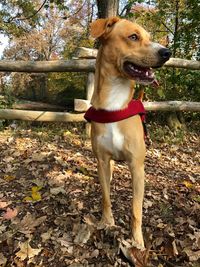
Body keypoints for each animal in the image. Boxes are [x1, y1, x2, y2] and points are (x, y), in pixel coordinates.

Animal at [84, 17, 170, 249]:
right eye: (133, 37)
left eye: (149, 37)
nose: (167, 52)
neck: (114, 105)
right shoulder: (102, 161)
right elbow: (106, 197)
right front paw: (106, 222)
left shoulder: (137, 168)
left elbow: (136, 210)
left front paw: (137, 241)